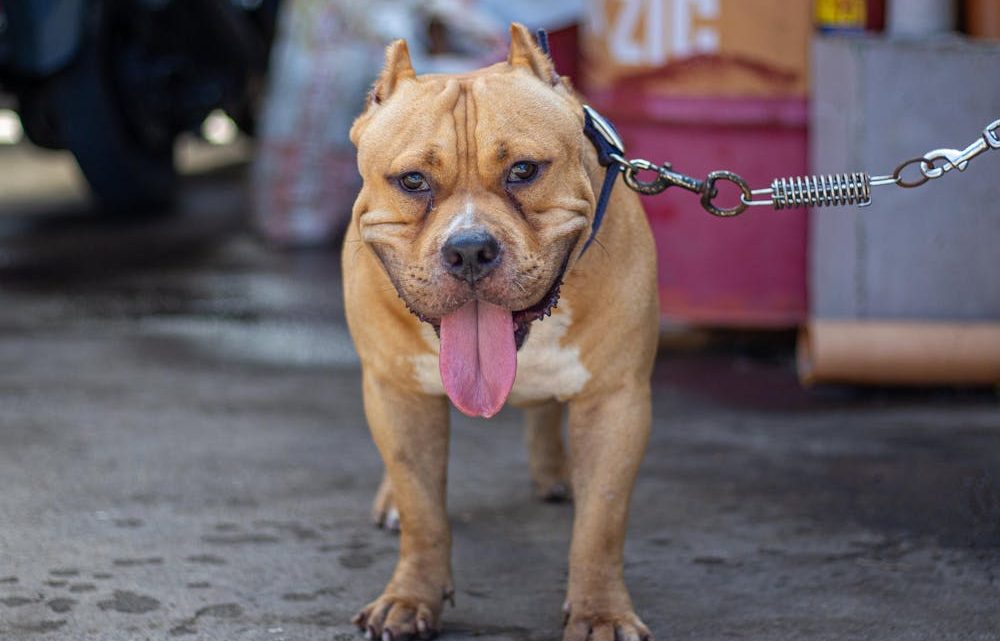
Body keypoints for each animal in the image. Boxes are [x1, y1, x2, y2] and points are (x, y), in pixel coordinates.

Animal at [340, 22, 660, 640]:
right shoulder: (397, 393)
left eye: (524, 171)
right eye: (412, 181)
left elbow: (602, 520)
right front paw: (410, 597)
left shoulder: (616, 400)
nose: (469, 249)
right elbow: (422, 509)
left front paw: (600, 611)